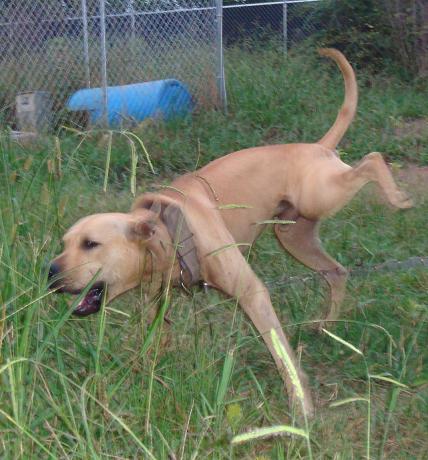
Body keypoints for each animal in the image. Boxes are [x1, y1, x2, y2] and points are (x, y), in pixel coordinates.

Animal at [49, 48, 412, 416]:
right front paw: (141, 374)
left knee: (372, 159)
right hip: (294, 237)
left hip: (321, 196)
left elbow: (282, 357)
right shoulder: (157, 303)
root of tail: (316, 145)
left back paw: (398, 197)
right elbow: (153, 343)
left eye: (91, 244)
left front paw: (301, 406)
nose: (49, 271)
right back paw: (327, 326)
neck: (166, 232)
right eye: (64, 244)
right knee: (336, 272)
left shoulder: (252, 294)